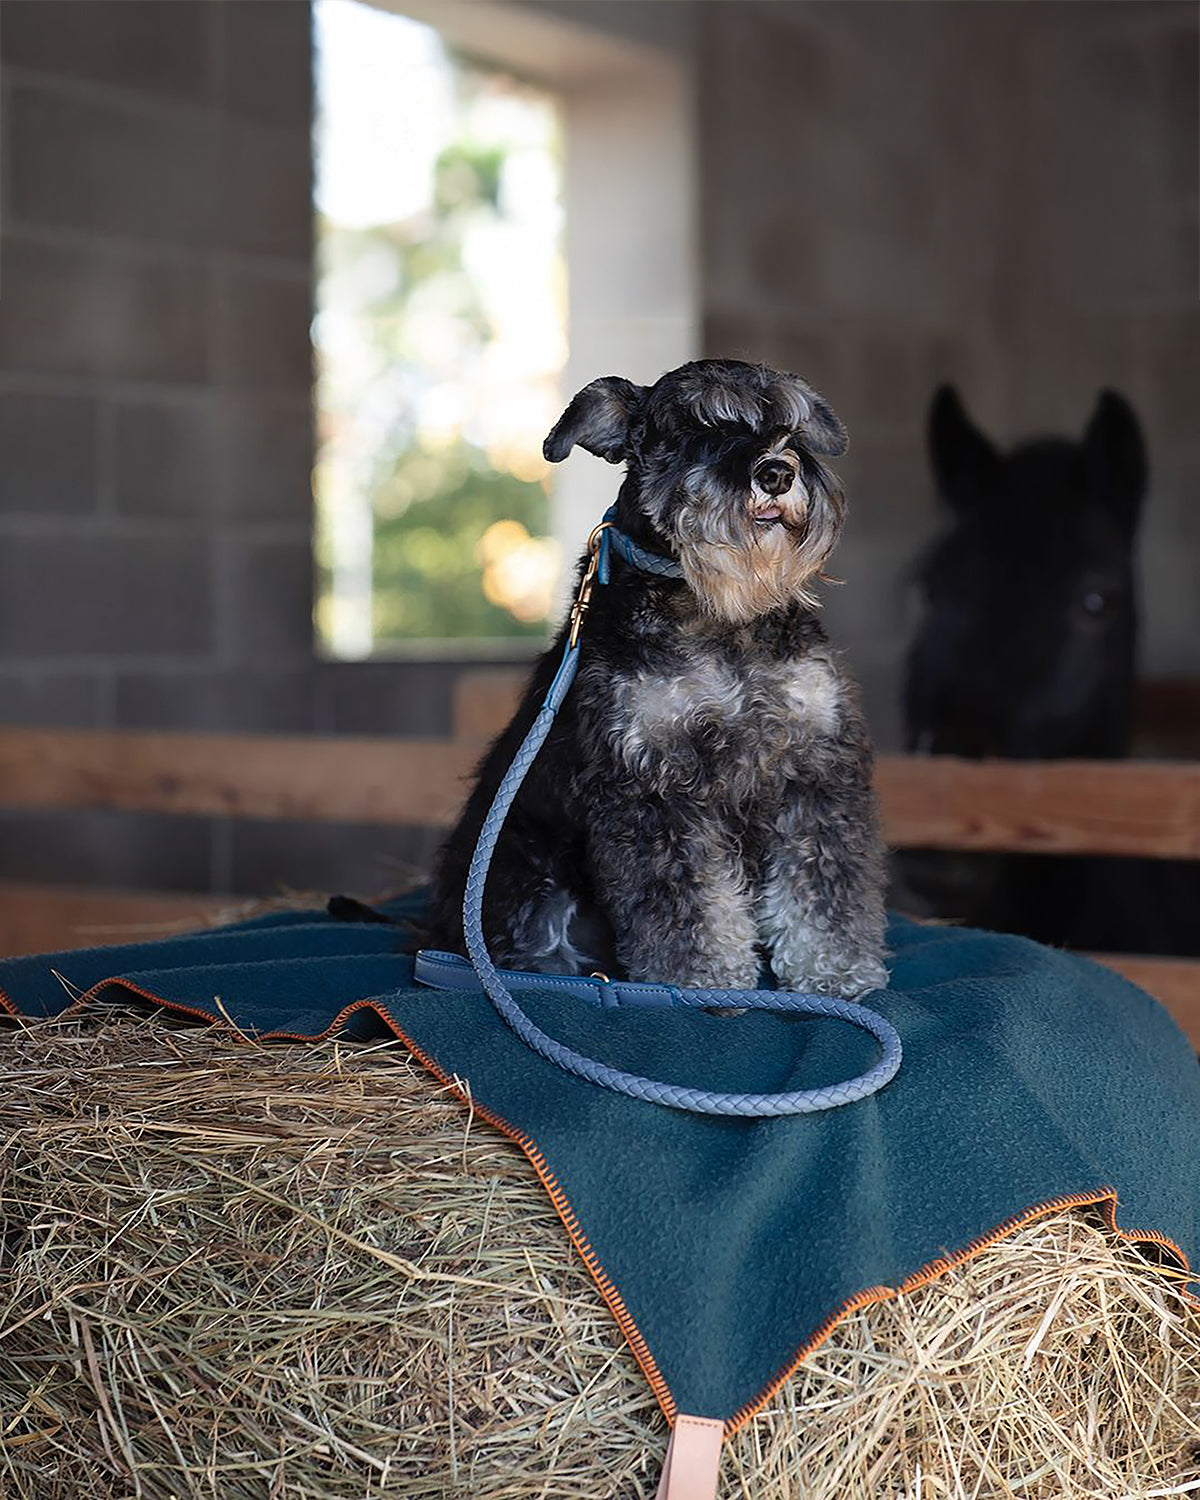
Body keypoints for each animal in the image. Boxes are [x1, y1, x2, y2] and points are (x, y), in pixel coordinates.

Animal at [426, 357, 888, 1002]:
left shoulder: (816, 768)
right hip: (524, 873)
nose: (777, 470)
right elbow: (688, 901)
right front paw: (704, 979)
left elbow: (823, 882)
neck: (721, 618)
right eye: (696, 424)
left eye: (790, 425)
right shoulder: (652, 784)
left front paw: (836, 971)